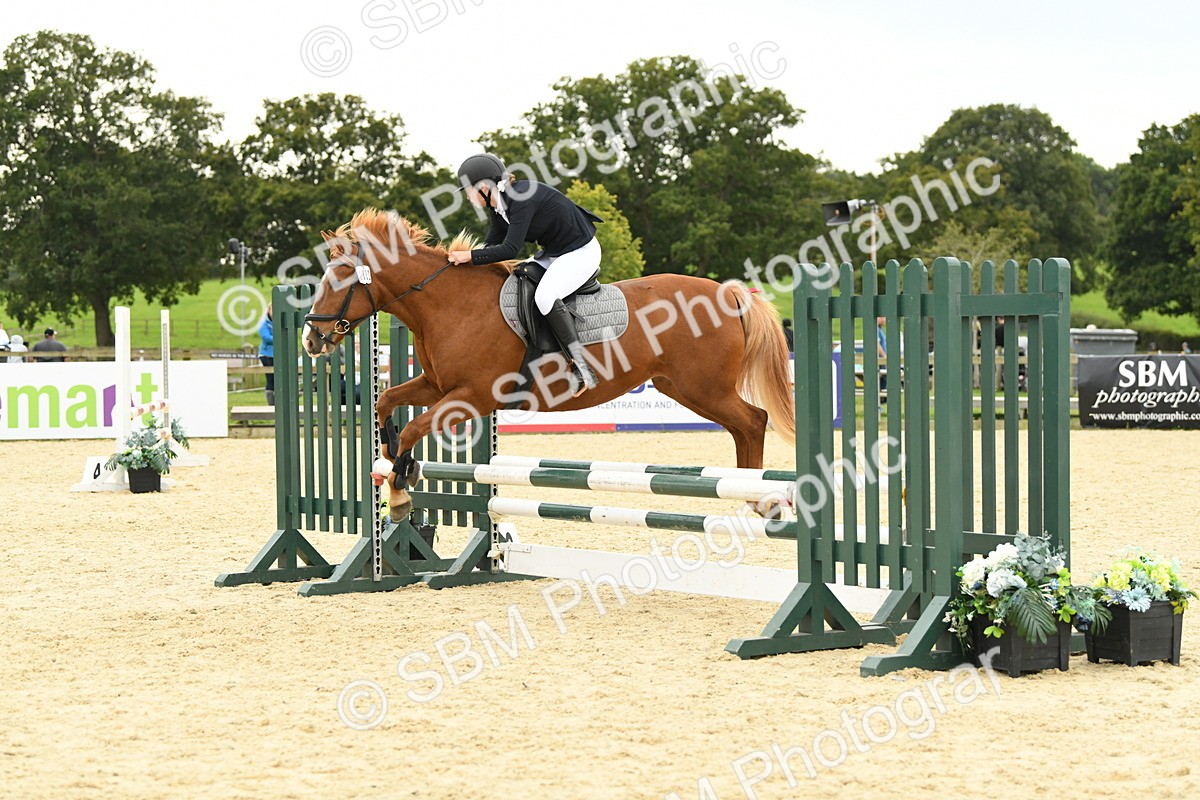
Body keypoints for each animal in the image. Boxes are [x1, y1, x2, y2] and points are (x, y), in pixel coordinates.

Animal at [302, 209, 795, 519]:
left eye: (341, 280)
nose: (311, 338)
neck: (447, 306)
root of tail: (730, 293)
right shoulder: (438, 386)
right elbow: (387, 403)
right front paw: (393, 464)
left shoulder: (473, 397)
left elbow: (413, 428)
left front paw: (400, 490)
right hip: (682, 387)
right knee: (742, 427)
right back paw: (752, 497)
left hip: (703, 387)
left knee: (754, 421)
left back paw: (761, 499)